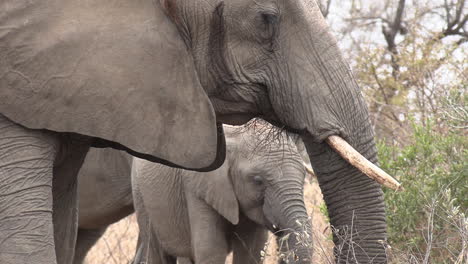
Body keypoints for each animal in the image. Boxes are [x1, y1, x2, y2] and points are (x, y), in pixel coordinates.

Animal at [133, 125, 312, 264]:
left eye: (303, 177)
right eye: (258, 181)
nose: (280, 231)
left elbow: (251, 251)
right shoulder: (196, 186)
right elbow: (211, 250)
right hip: (140, 193)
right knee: (156, 251)